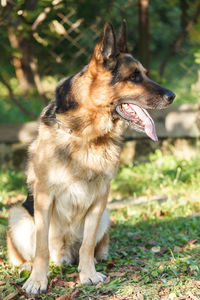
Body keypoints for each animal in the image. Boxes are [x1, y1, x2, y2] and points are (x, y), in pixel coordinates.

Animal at [6, 22, 175, 294]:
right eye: (133, 77)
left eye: (145, 74)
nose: (173, 96)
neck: (88, 136)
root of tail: (64, 254)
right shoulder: (43, 196)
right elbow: (41, 247)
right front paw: (38, 280)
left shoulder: (100, 198)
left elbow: (86, 245)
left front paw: (88, 274)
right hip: (17, 214)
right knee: (30, 253)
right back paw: (27, 267)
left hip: (106, 214)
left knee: (90, 247)